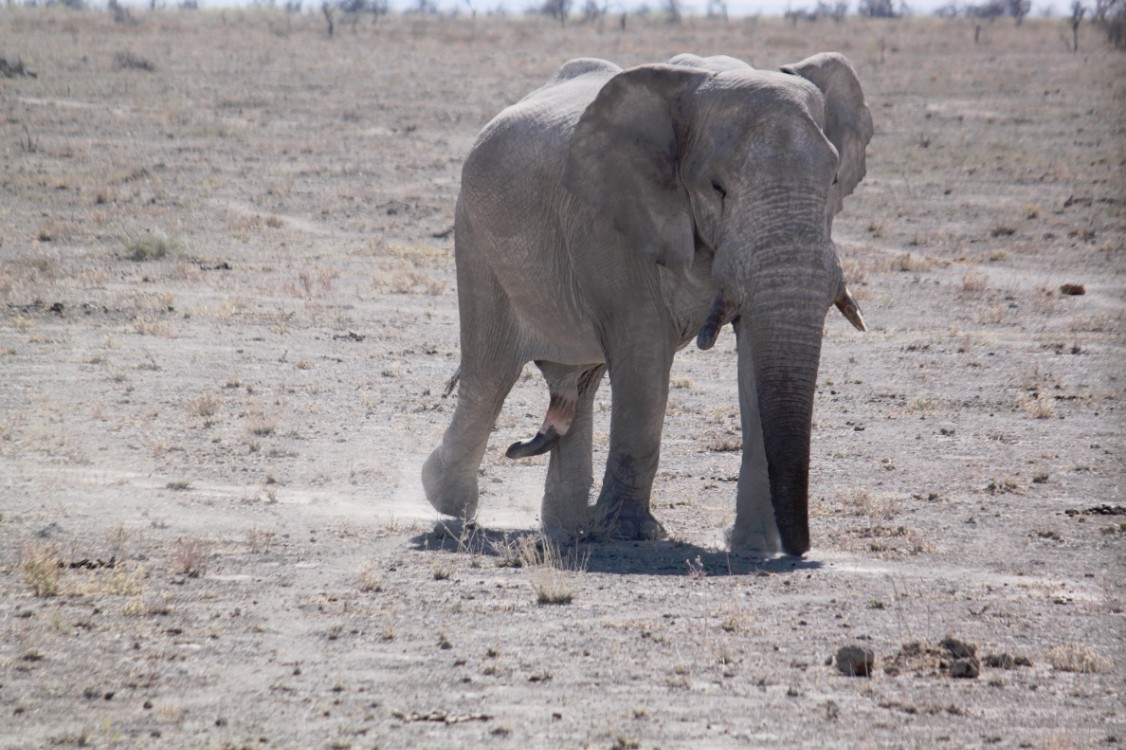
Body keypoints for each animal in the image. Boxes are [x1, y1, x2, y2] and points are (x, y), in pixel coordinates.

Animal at [423, 51, 869, 554]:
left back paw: (565, 526)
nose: (800, 550)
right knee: (491, 376)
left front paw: (754, 546)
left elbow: (755, 356)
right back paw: (450, 503)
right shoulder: (611, 221)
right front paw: (632, 534)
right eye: (717, 187)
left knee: (577, 385)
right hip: (475, 239)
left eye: (834, 179)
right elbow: (643, 355)